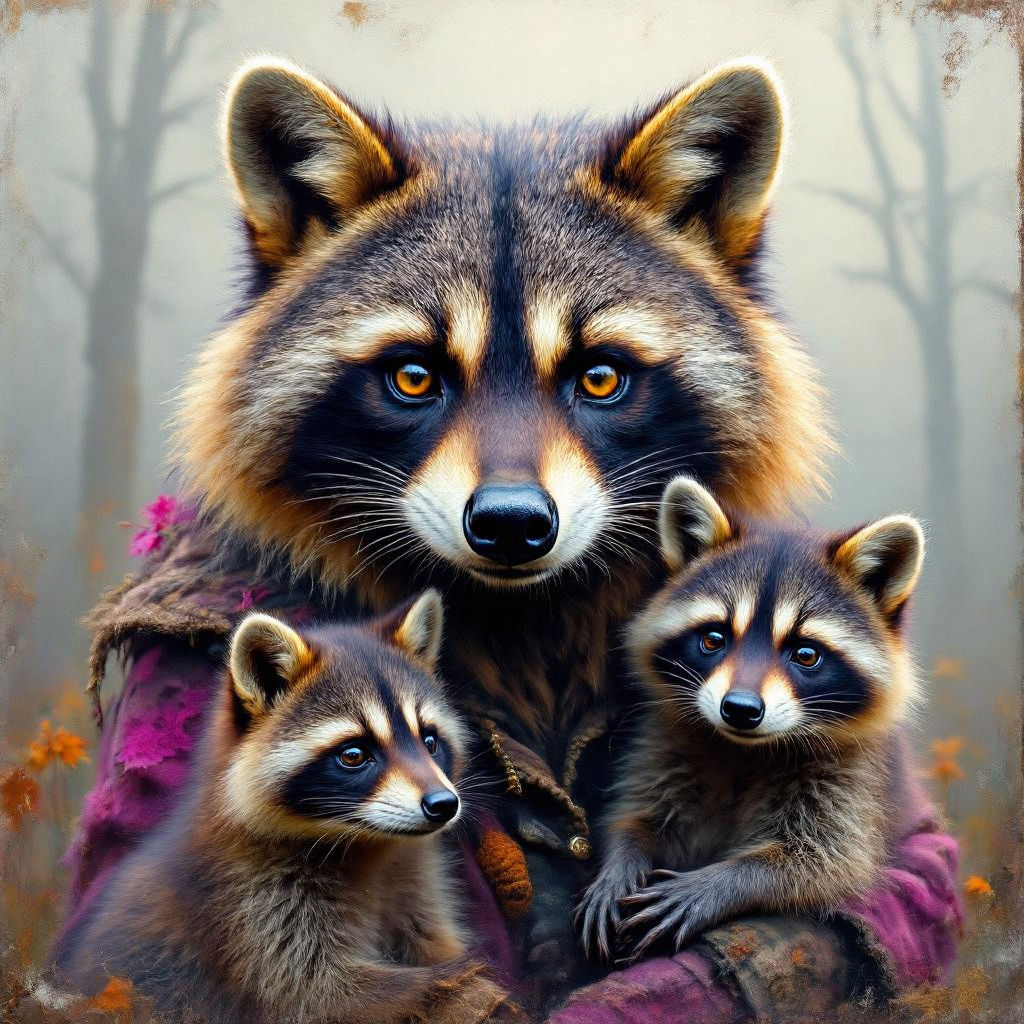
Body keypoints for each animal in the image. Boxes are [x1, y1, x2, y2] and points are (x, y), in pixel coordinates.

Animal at [58, 592, 506, 1024]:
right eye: (354, 755)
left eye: (429, 742)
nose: (443, 804)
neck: (369, 845)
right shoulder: (249, 910)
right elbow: (317, 998)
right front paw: (454, 987)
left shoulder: (413, 885)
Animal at [576, 476, 927, 961]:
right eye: (713, 638)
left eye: (805, 654)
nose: (740, 709)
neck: (745, 748)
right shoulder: (664, 746)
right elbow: (635, 815)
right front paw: (622, 859)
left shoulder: (857, 780)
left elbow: (824, 862)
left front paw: (719, 883)